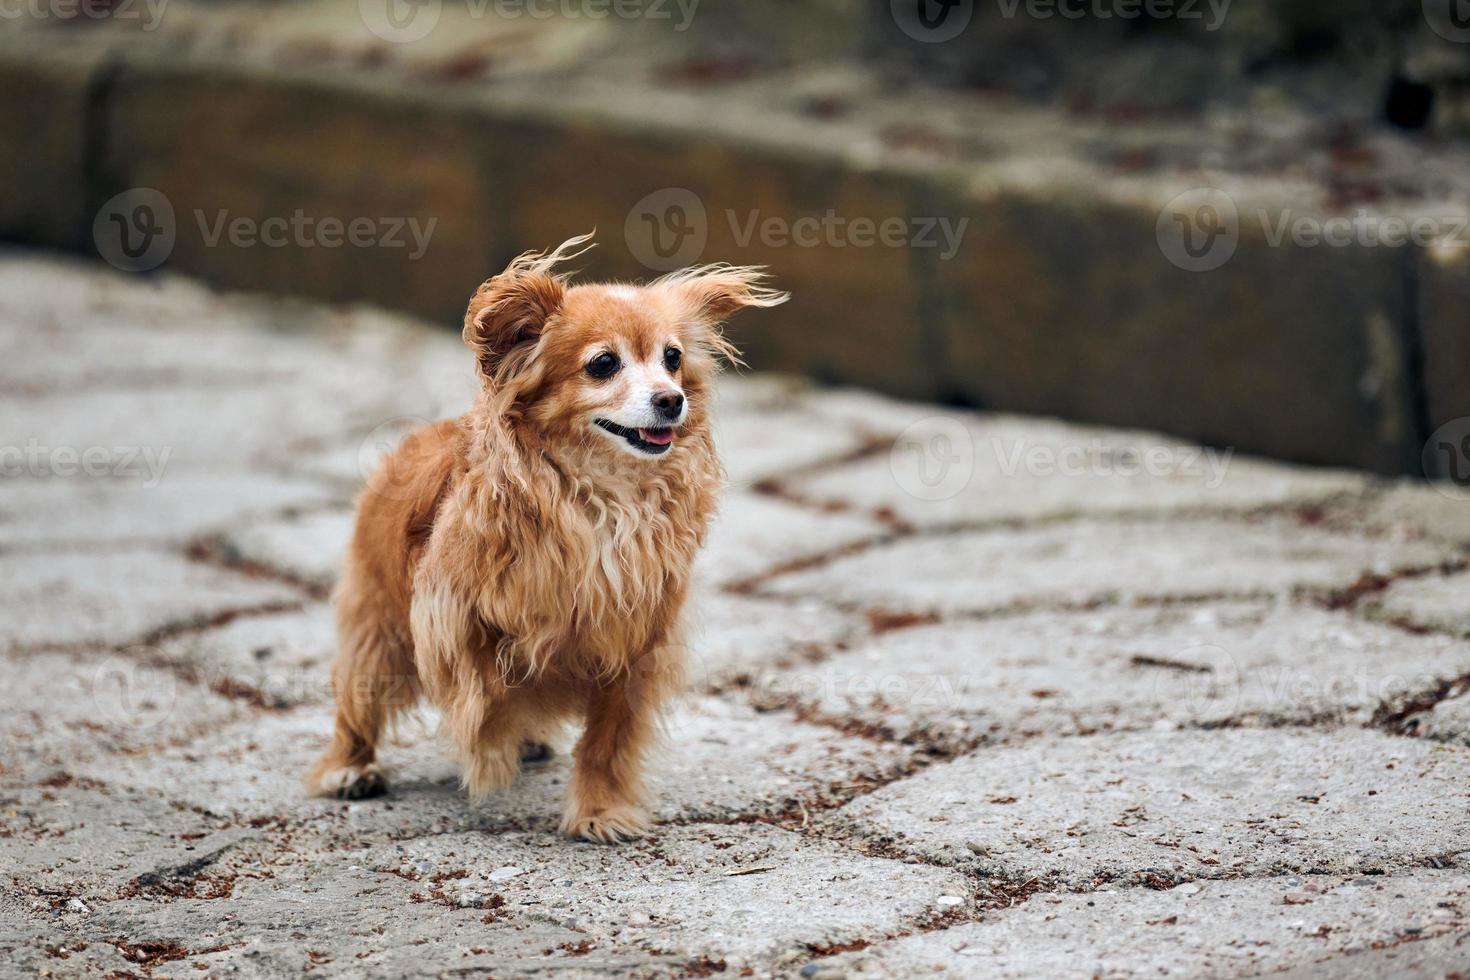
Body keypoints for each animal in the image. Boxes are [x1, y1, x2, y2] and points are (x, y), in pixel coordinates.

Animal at [305, 235, 787, 846]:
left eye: (673, 358)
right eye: (604, 364)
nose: (671, 399)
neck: (603, 498)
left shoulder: (637, 643)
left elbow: (607, 737)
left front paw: (599, 810)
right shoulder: (450, 610)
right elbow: (481, 685)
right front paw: (489, 744)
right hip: (377, 631)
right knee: (359, 702)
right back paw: (350, 767)